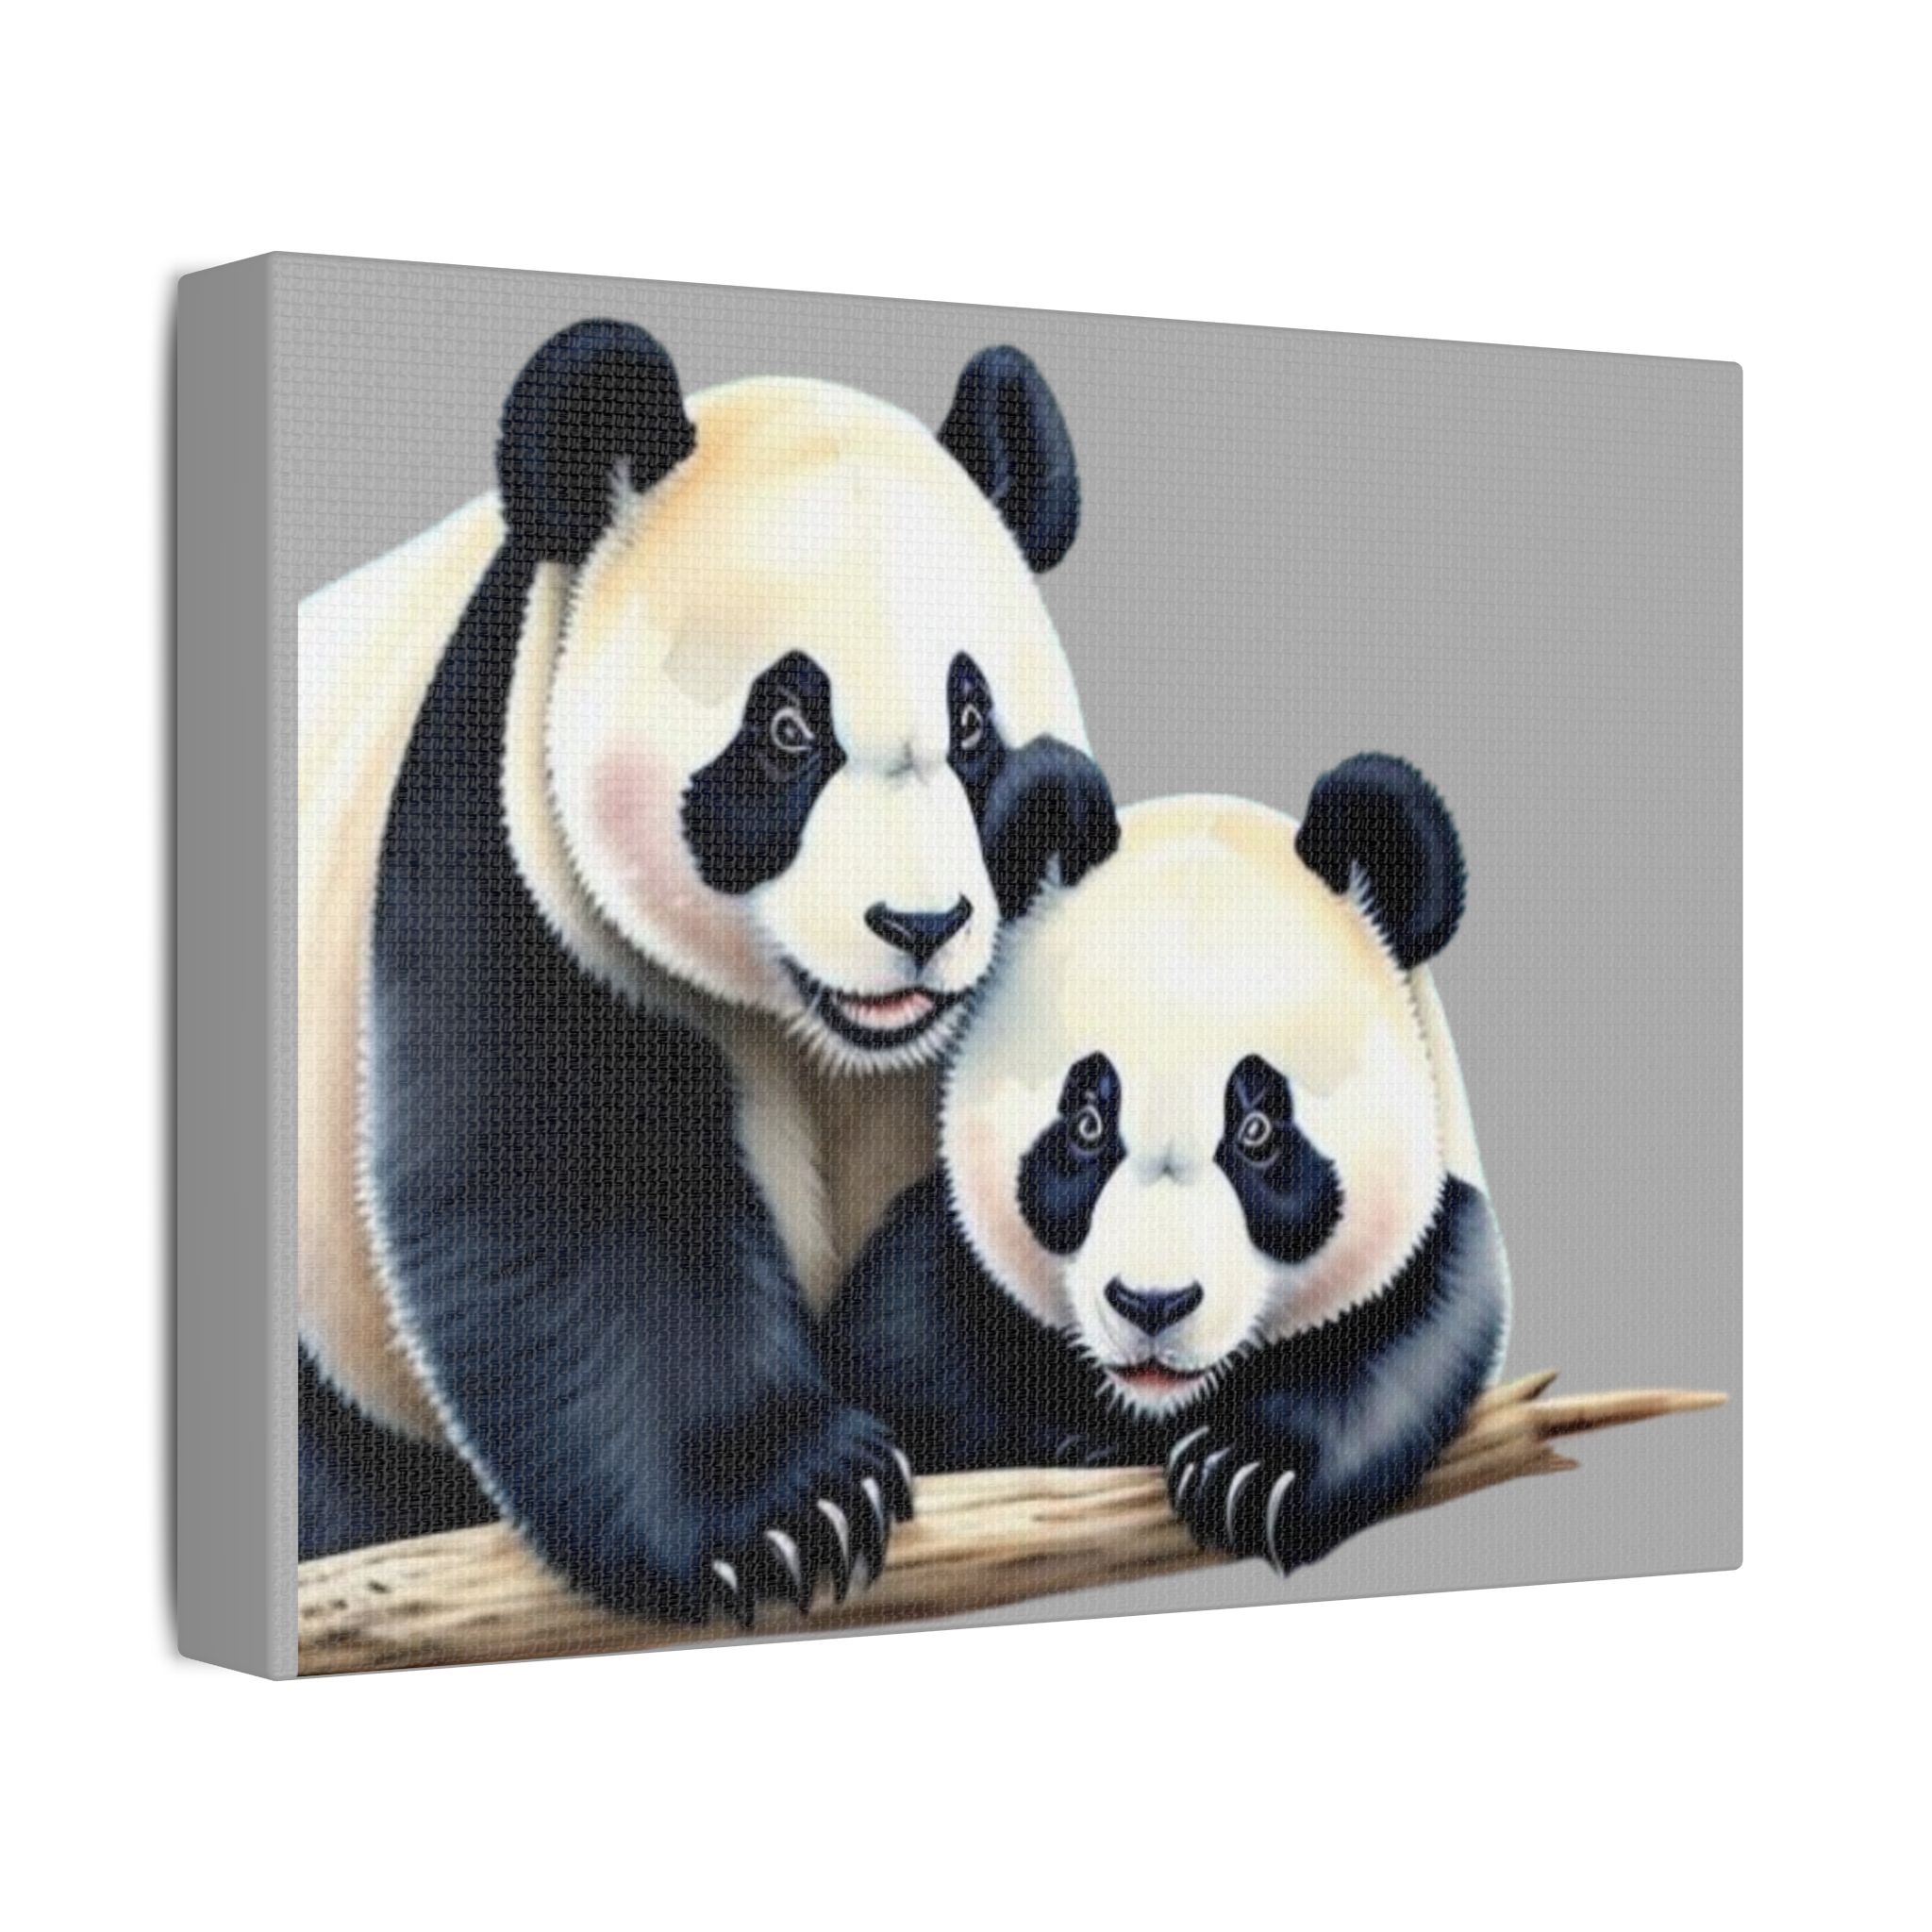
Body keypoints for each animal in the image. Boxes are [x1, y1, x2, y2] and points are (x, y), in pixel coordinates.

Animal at [296, 320, 1119, 1623]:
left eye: (971, 722)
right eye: (785, 730)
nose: (920, 923)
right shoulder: (508, 845)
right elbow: (575, 1198)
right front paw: (796, 1507)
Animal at [823, 758, 1511, 1575]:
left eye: (1257, 1131)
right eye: (1088, 1125)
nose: (1152, 1305)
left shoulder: (1437, 1240)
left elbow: (1414, 1342)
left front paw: (1248, 1472)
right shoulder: (937, 1277)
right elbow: (901, 1348)